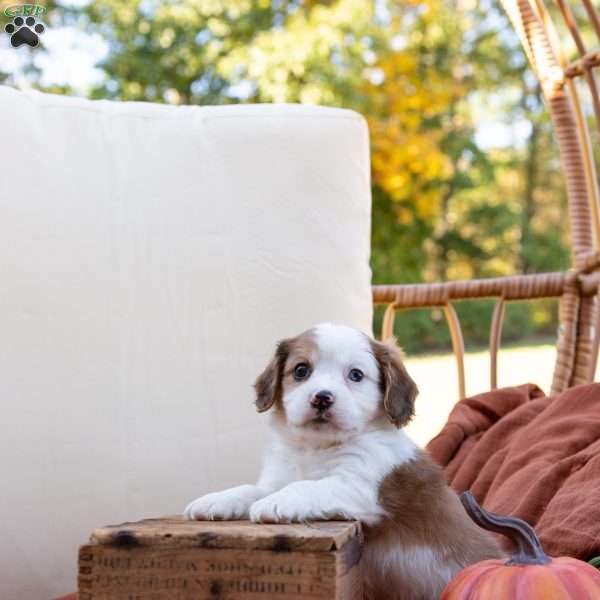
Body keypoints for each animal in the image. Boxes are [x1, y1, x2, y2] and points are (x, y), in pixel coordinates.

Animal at [184, 326, 502, 596]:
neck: (316, 448)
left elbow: (306, 487)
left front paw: (274, 503)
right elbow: (251, 489)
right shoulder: (278, 476)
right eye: (301, 370)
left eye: (356, 375)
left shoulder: (357, 486)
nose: (322, 398)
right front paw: (216, 500)